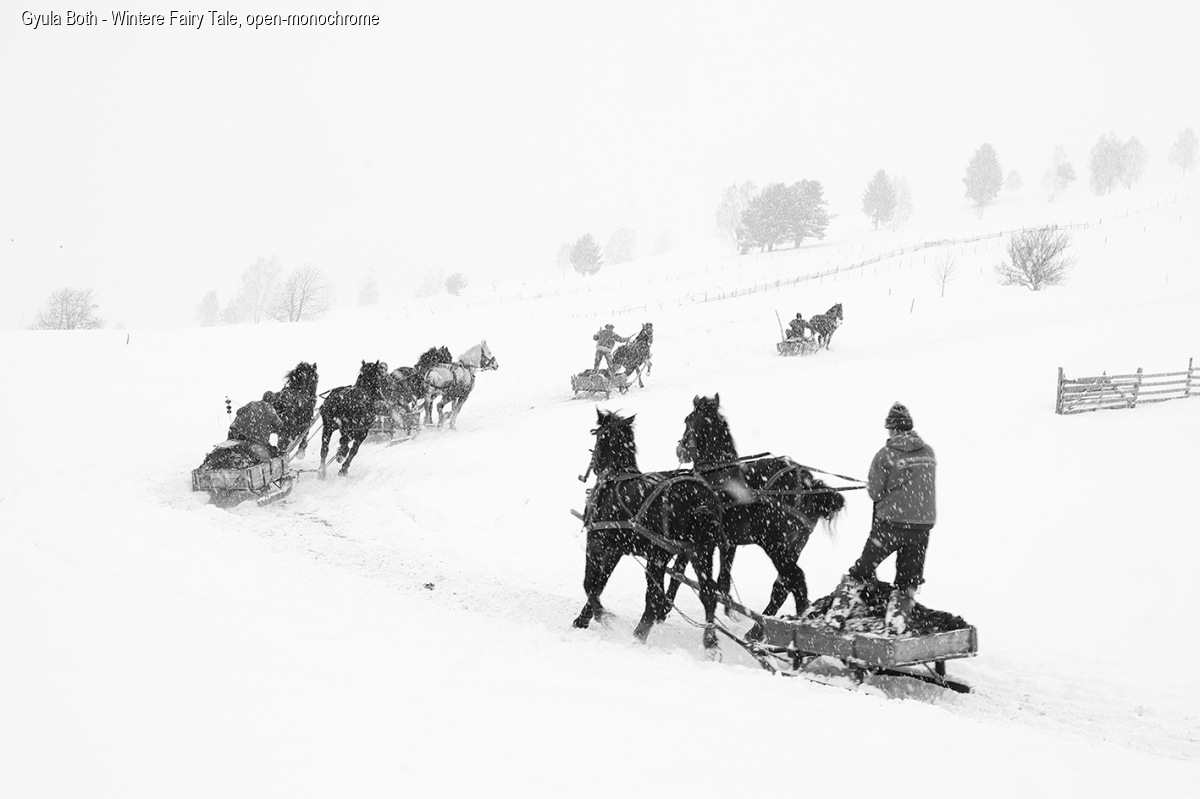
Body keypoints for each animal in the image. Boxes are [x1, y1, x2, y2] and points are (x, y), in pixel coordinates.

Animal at [574, 409, 724, 649]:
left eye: (596, 434)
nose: (594, 467)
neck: (616, 475)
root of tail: (699, 498)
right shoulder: (616, 550)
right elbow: (600, 583)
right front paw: (585, 617)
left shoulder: (596, 542)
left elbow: (590, 583)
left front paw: (601, 616)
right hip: (700, 550)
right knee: (708, 593)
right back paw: (710, 641)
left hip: (659, 555)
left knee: (654, 598)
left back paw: (639, 635)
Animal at [673, 394, 845, 632]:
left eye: (687, 420)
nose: (679, 449)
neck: (718, 470)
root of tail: (805, 484)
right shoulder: (728, 542)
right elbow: (724, 575)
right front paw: (727, 606)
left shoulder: (701, 538)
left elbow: (686, 572)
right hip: (794, 545)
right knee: (783, 585)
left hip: (774, 545)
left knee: (796, 579)